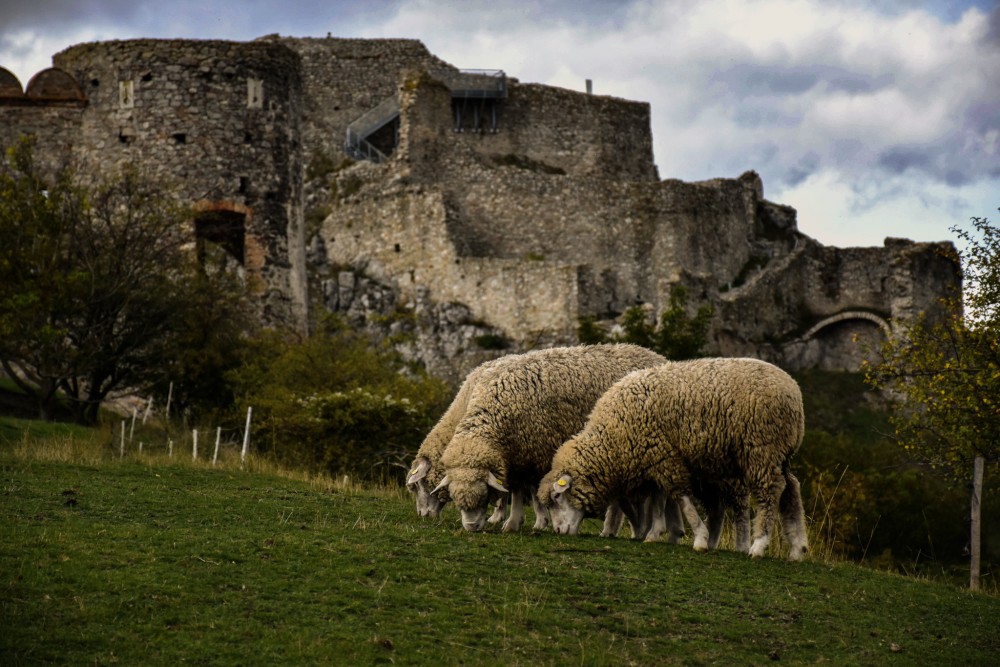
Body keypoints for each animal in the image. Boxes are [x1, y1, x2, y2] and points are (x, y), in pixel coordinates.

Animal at [434, 344, 668, 532]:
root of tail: (657, 356)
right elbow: (518, 490)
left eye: (484, 495)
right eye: (454, 498)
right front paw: (516, 522)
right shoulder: (518, 455)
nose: (471, 527)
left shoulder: (535, 452)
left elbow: (527, 492)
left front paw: (516, 523)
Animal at [544, 358, 808, 560]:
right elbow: (660, 499)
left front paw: (699, 538)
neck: (613, 436)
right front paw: (655, 533)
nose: (557, 531)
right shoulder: (656, 456)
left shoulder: (664, 457)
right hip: (778, 454)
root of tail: (794, 391)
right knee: (791, 489)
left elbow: (682, 499)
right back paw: (797, 548)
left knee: (771, 491)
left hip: (761, 448)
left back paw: (759, 545)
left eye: (557, 497)